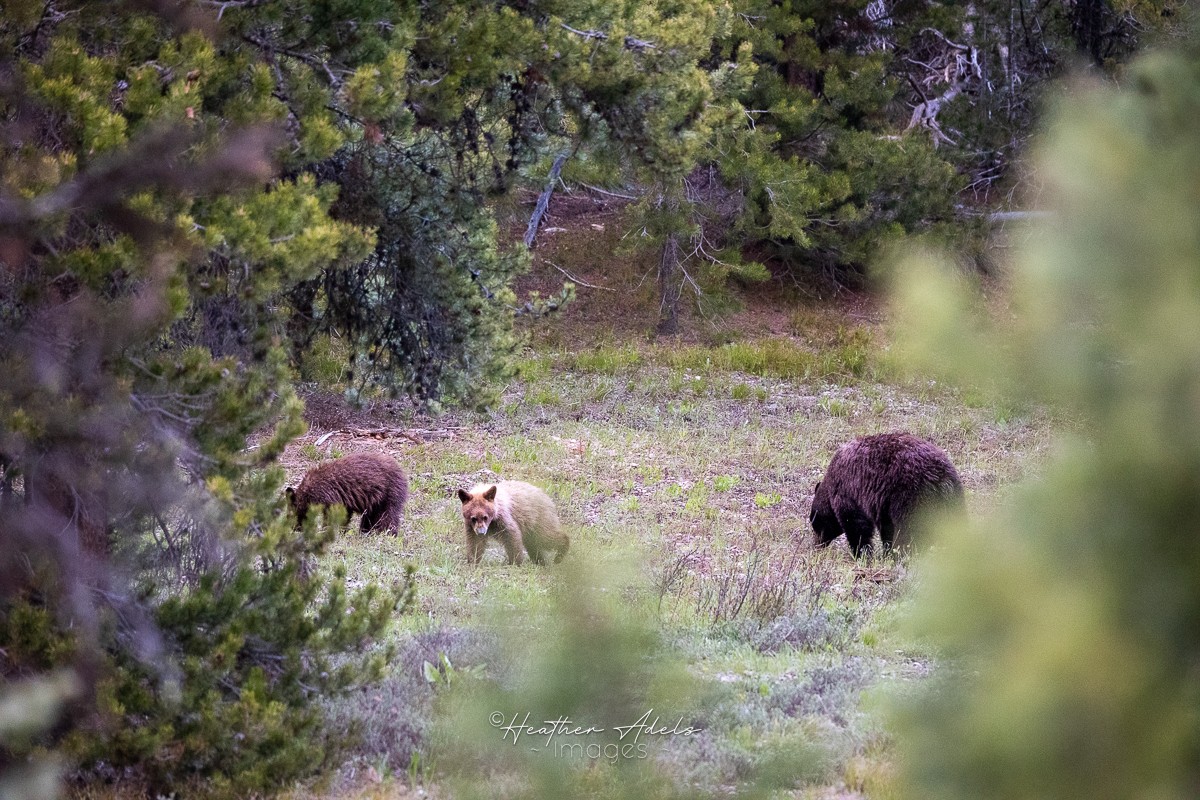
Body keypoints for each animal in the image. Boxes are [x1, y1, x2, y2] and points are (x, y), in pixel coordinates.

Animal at [810, 432, 963, 557]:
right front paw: (886, 551)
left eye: (815, 523)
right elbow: (886, 527)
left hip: (912, 495)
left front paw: (861, 554)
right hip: (954, 499)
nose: (817, 545)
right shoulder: (882, 503)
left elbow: (857, 525)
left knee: (911, 531)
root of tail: (941, 477)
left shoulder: (849, 490)